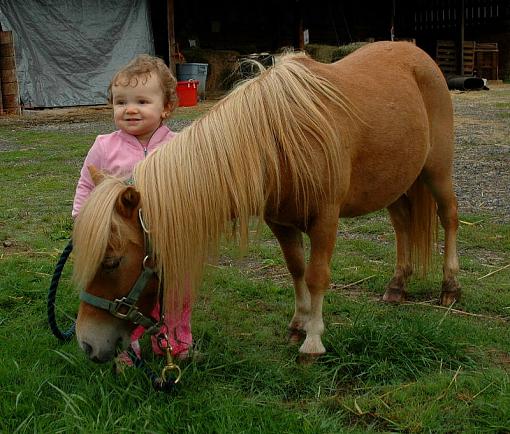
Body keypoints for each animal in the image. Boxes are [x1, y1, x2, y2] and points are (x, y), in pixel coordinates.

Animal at [72, 42, 462, 362]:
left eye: (112, 262)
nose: (87, 344)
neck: (277, 141)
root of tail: (418, 55)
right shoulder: (282, 222)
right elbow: (297, 270)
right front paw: (298, 325)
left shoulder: (325, 219)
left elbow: (317, 276)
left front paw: (313, 342)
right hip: (396, 182)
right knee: (402, 225)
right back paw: (397, 286)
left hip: (437, 171)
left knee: (449, 216)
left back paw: (450, 288)